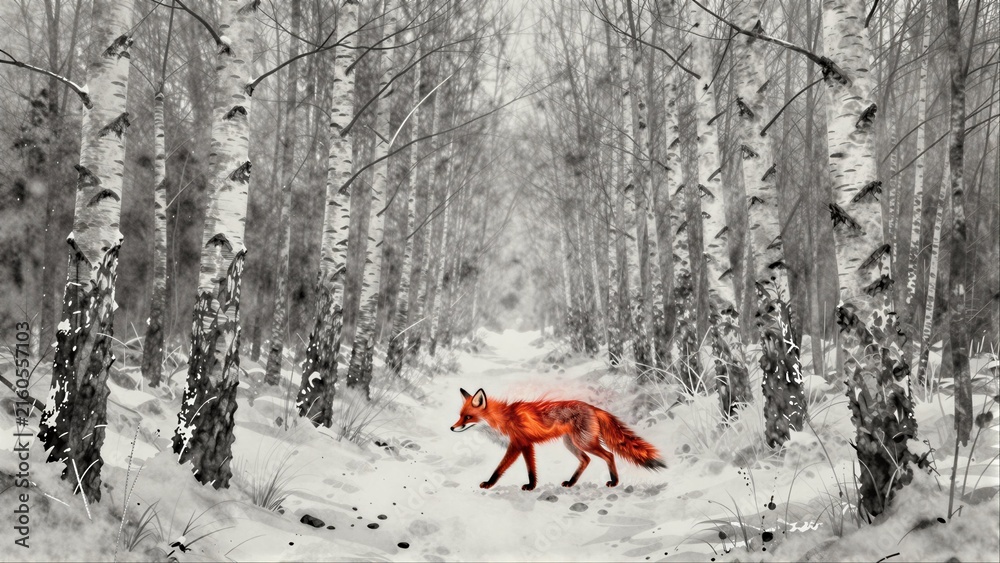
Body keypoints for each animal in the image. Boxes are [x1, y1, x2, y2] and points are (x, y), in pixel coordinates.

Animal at [450, 388, 666, 491]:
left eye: (467, 417)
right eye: (460, 416)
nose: (452, 428)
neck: (503, 419)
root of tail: (592, 407)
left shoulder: (518, 444)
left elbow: (500, 468)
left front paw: (490, 483)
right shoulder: (526, 446)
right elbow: (531, 469)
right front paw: (532, 486)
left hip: (584, 442)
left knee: (609, 455)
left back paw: (614, 481)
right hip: (570, 443)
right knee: (586, 460)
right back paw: (571, 482)